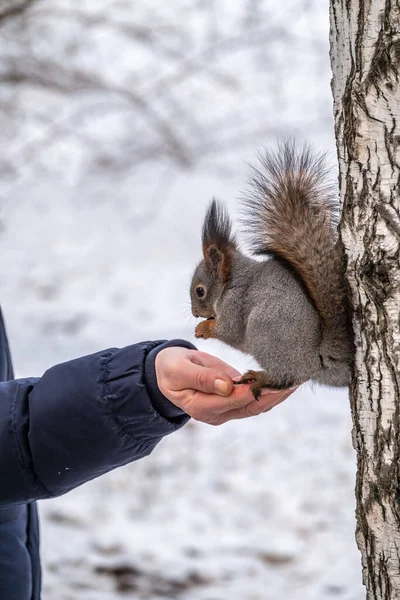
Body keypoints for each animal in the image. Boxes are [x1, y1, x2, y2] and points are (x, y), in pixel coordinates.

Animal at [190, 138, 354, 396]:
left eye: (200, 291)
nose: (195, 313)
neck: (229, 282)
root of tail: (315, 361)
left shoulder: (234, 304)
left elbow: (228, 330)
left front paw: (204, 328)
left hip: (264, 332)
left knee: (286, 376)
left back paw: (261, 378)